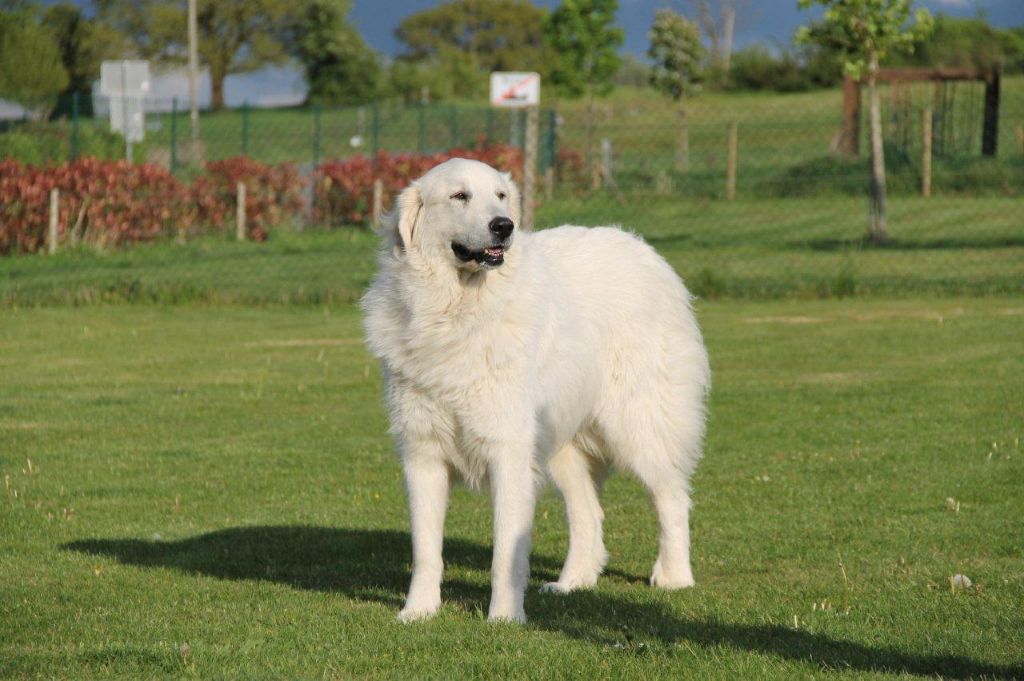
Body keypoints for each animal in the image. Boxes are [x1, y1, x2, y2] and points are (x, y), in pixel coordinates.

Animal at [364, 157, 708, 622]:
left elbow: (505, 552)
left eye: (500, 195)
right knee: (588, 512)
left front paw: (504, 618)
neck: (457, 313)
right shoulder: (423, 454)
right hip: (561, 445)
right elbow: (426, 549)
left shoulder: (507, 452)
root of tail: (643, 250)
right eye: (459, 196)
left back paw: (674, 577)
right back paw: (572, 583)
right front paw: (418, 612)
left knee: (671, 497)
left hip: (639, 425)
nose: (503, 226)